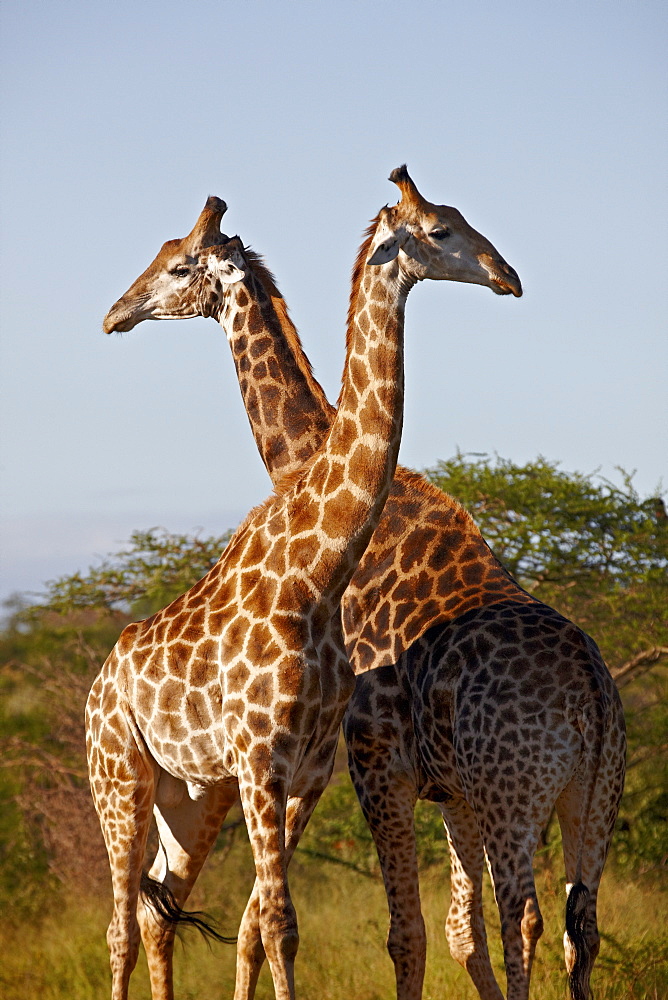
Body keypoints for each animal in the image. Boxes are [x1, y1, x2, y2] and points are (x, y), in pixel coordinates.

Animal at [104, 172, 628, 1000]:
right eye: (444, 226)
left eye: (178, 264)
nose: (116, 313)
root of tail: (595, 689)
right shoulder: (427, 784)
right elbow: (449, 932)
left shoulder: (371, 756)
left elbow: (406, 932)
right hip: (590, 795)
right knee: (579, 924)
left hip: (519, 792)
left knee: (529, 917)